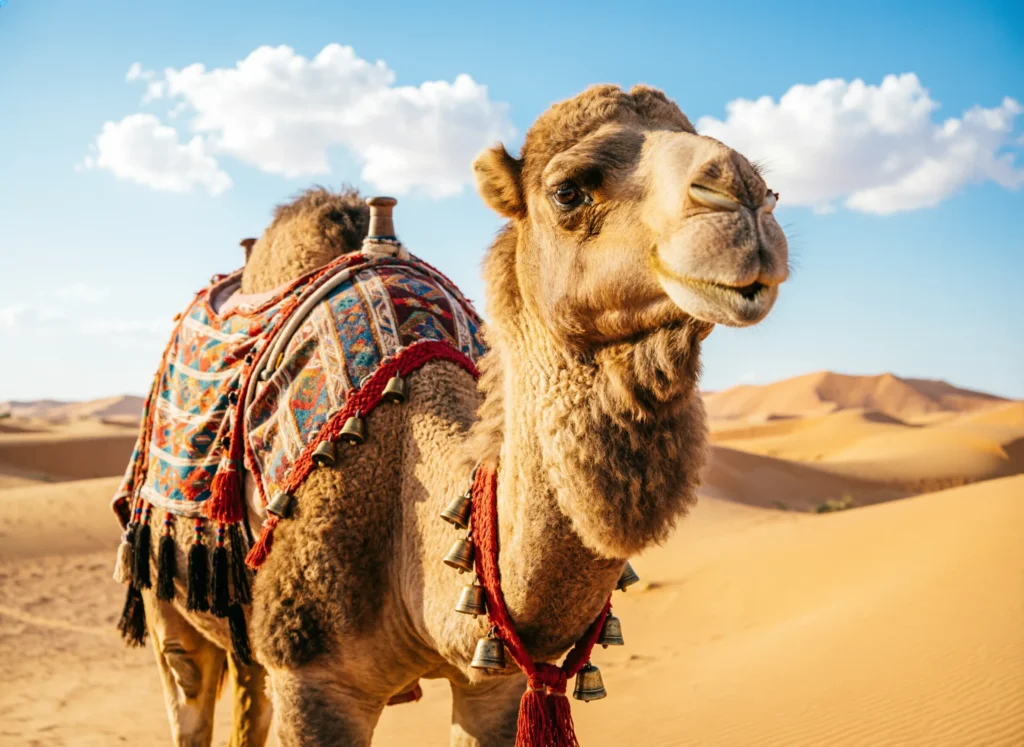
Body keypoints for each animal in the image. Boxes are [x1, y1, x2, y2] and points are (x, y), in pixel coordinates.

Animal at [121, 83, 788, 746]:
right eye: (569, 191)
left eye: (773, 188)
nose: (744, 193)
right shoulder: (311, 682)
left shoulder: (492, 681)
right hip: (166, 608)